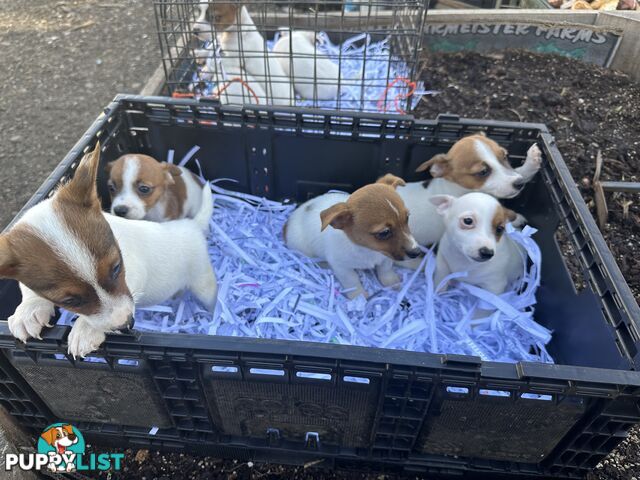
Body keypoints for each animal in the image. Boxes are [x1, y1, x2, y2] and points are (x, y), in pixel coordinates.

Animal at [0, 144, 218, 358]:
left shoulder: (134, 275)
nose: (128, 324)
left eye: (116, 268)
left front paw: (85, 330)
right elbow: (28, 290)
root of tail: (192, 225)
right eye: (70, 301)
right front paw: (28, 311)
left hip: (204, 284)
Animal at [152, 0, 428, 112]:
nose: (194, 30)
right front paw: (199, 53)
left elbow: (217, 63)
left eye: (214, 17)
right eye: (197, 12)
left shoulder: (230, 61)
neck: (235, 32)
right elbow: (210, 54)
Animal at [284, 174, 422, 298]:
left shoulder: (385, 256)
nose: (417, 252)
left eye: (407, 218)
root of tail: (287, 223)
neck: (368, 250)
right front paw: (358, 296)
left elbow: (385, 269)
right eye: (384, 232)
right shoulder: (341, 266)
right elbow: (352, 280)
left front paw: (391, 281)